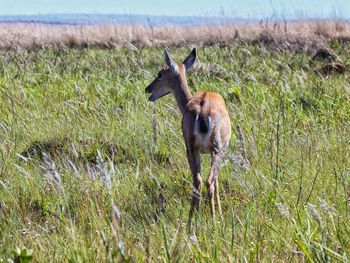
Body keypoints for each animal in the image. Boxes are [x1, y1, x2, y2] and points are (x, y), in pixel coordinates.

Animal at [146, 48, 232, 230]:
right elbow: (217, 181)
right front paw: (221, 216)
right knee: (208, 180)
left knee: (198, 180)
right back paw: (210, 221)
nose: (147, 89)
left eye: (160, 74)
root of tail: (204, 111)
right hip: (212, 150)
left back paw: (194, 221)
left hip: (195, 149)